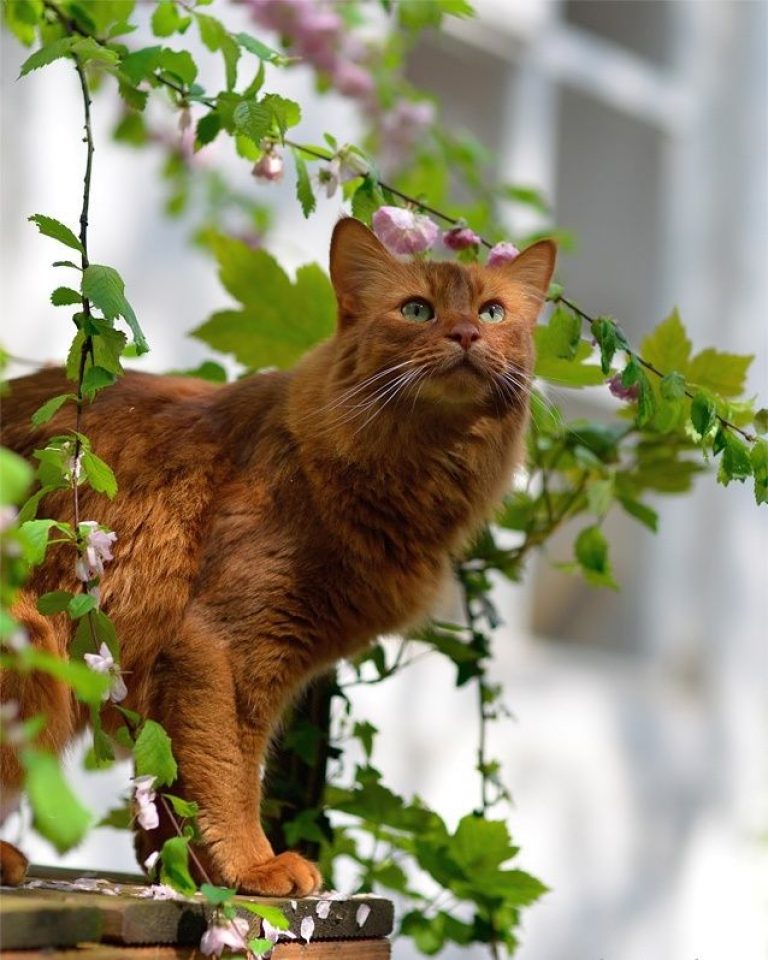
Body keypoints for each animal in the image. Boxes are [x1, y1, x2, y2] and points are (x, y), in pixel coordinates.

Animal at [0, 216, 552, 892]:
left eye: (493, 311)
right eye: (418, 310)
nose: (467, 333)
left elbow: (167, 793)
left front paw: (184, 871)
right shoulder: (221, 644)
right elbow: (226, 771)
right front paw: (253, 865)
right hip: (31, 645)